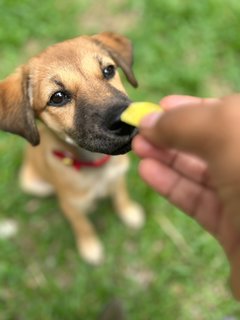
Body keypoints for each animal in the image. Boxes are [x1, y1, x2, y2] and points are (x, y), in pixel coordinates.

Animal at [0, 32, 144, 264]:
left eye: (108, 70)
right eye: (58, 97)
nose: (124, 121)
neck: (95, 166)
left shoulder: (118, 176)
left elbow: (121, 195)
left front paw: (129, 212)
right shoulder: (71, 206)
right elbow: (82, 225)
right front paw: (90, 247)